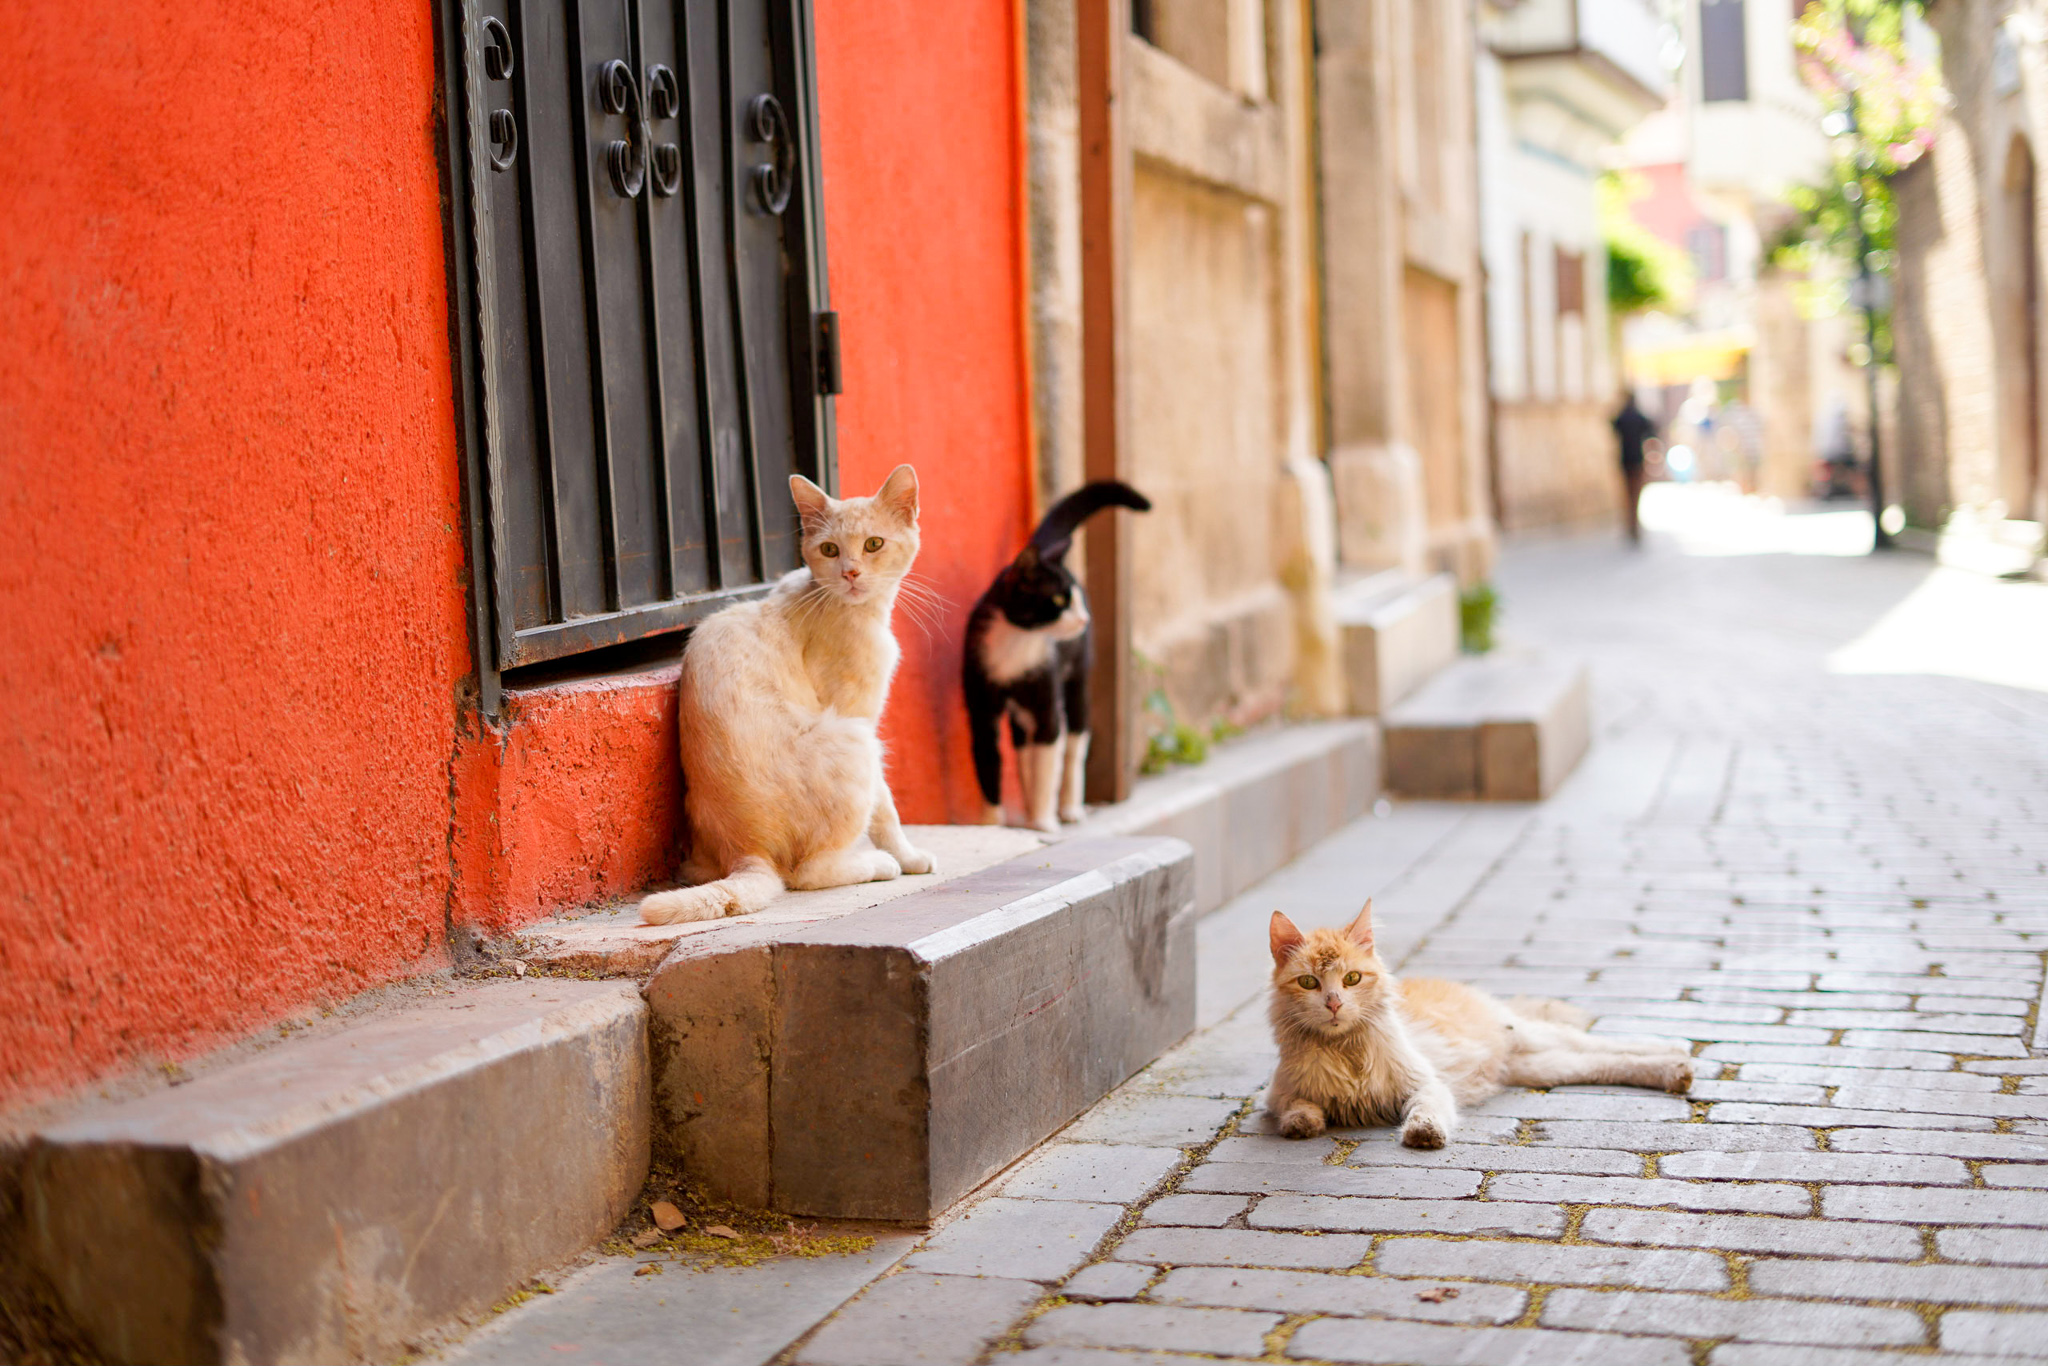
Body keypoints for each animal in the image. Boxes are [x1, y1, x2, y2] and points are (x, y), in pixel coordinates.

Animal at [634, 464, 937, 925]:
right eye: (829, 549)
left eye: (873, 544)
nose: (850, 573)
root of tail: (745, 850)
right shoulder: (860, 715)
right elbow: (886, 807)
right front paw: (909, 856)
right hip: (855, 741)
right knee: (807, 873)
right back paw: (878, 865)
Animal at [962, 481, 1155, 835]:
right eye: (1058, 600)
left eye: (1077, 597)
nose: (1083, 620)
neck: (1016, 642)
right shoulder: (981, 700)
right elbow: (988, 760)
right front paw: (990, 824)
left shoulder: (1046, 696)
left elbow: (1048, 757)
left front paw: (1043, 822)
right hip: (1020, 711)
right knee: (1023, 749)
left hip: (1076, 684)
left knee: (1073, 745)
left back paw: (1067, 808)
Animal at [1261, 909, 1695, 1155]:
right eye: (1309, 983)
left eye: (1351, 978)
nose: (1334, 1004)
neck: (1345, 1049)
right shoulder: (1280, 1094)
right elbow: (1299, 1108)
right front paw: (1303, 1125)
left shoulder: (1427, 1085)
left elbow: (1425, 1111)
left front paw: (1423, 1133)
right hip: (1544, 1067)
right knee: (1605, 1064)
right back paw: (1674, 1072)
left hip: (1533, 1036)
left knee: (1608, 1044)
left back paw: (1677, 1054)